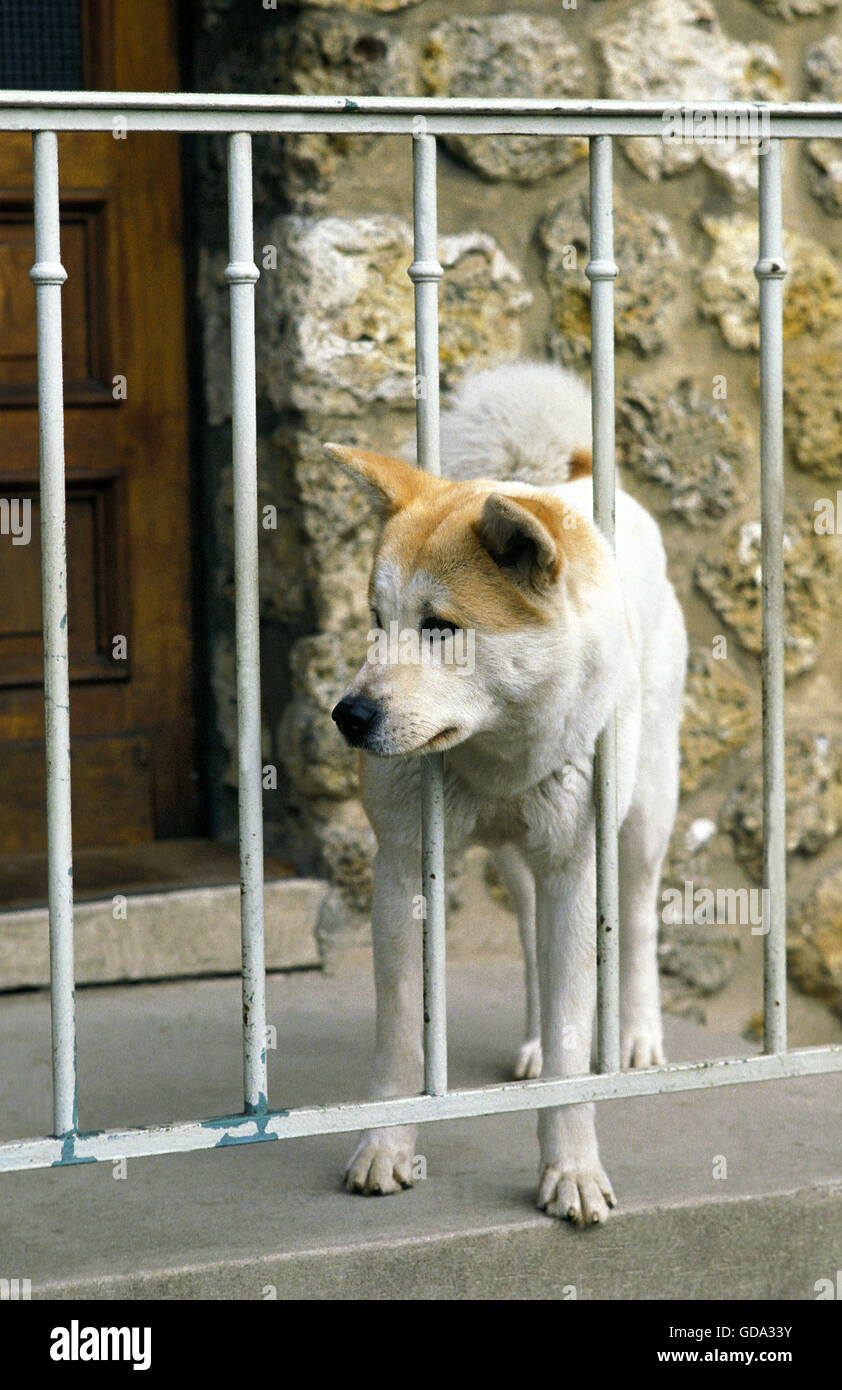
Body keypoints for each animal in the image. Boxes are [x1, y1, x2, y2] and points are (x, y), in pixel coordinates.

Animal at [326, 361, 689, 1228]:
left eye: (440, 626)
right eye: (376, 620)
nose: (348, 716)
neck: (492, 752)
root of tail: (571, 474)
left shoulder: (577, 868)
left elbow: (572, 1046)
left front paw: (573, 1171)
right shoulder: (403, 869)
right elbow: (402, 1039)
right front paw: (385, 1149)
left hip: (640, 819)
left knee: (636, 925)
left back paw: (637, 1038)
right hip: (518, 862)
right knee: (529, 943)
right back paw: (527, 1043)